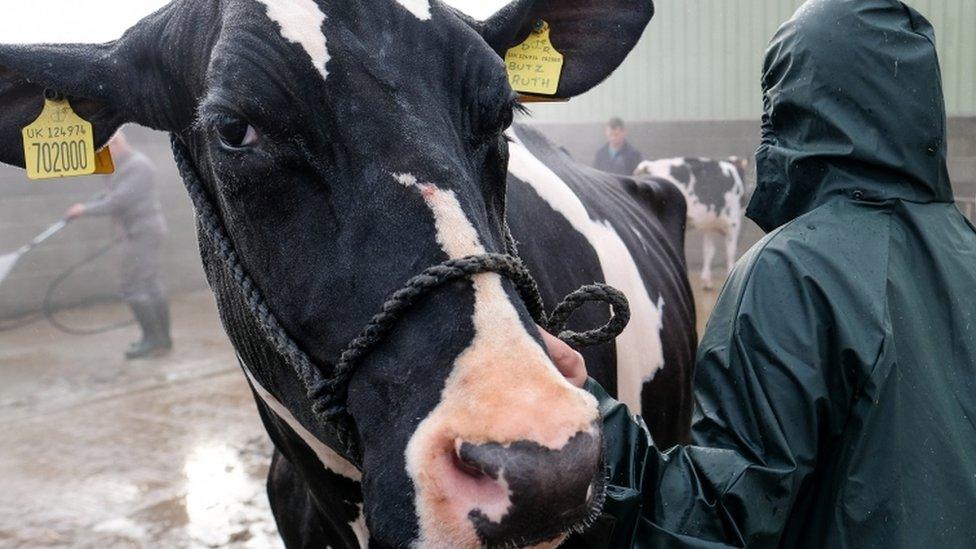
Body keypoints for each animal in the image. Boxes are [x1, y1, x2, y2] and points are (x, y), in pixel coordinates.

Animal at [632, 156, 748, 288]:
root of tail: (647, 165)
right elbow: (730, 252)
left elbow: (709, 251)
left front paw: (706, 282)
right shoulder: (733, 223)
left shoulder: (709, 226)